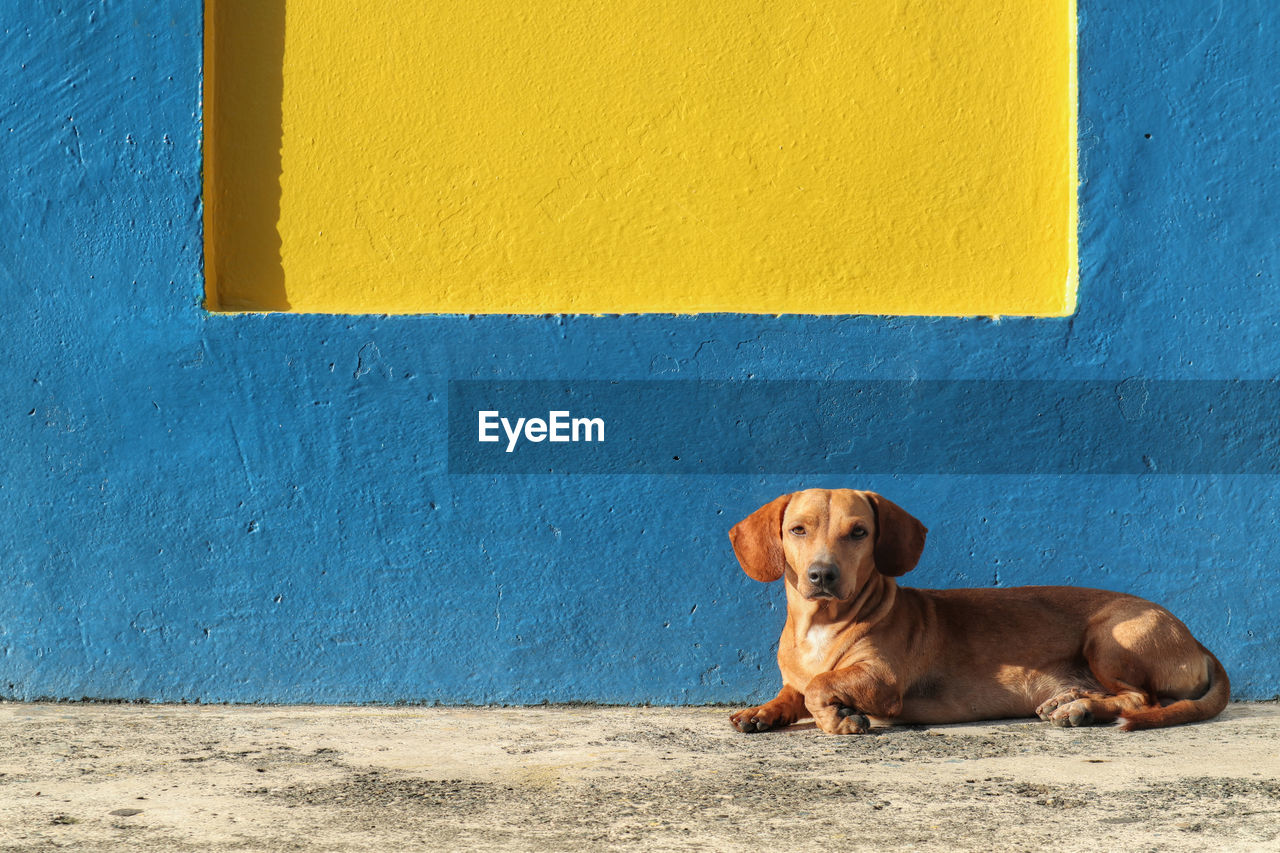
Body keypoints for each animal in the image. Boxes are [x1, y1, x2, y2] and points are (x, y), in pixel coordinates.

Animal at [727, 489, 1223, 732]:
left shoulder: (881, 680)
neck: (822, 626)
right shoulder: (797, 677)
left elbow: (819, 688)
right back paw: (1071, 701)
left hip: (1110, 636)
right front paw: (763, 711)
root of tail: (1196, 641)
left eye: (859, 532)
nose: (822, 576)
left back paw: (1080, 709)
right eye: (798, 529)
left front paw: (839, 718)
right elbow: (795, 691)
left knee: (1142, 698)